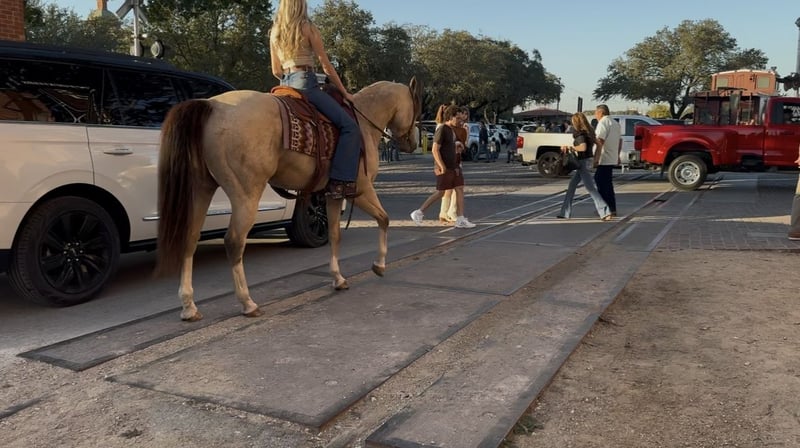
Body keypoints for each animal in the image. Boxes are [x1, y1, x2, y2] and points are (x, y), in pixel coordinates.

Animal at [155, 77, 422, 321]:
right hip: (246, 194)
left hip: (201, 190)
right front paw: (379, 265)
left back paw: (189, 306)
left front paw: (337, 278)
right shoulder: (362, 189)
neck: (363, 122)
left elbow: (335, 234)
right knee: (234, 242)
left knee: (189, 238)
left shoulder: (333, 194)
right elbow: (384, 219)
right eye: (416, 107)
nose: (412, 142)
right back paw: (247, 302)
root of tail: (212, 106)